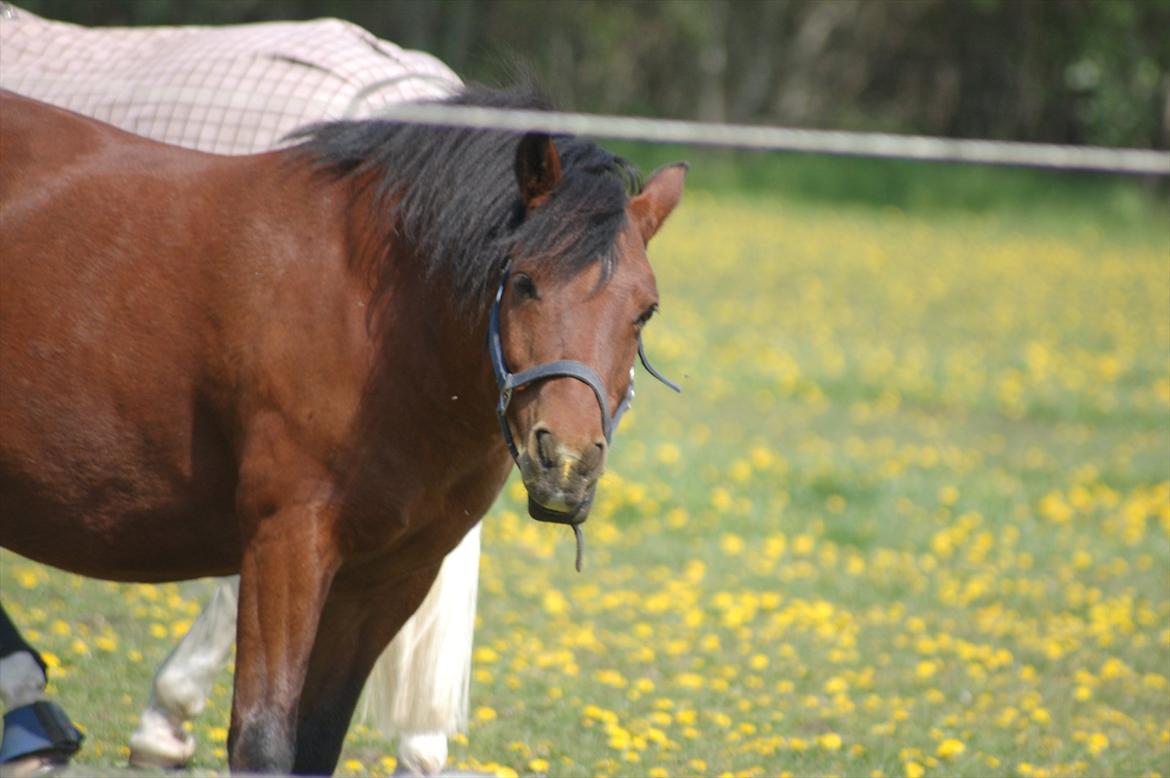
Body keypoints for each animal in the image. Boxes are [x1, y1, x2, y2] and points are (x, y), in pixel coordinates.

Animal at [0, 86, 683, 772]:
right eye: (523, 282)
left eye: (646, 311)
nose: (566, 461)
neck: (373, 320)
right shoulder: (286, 546)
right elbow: (263, 737)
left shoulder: (384, 579)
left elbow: (318, 738)